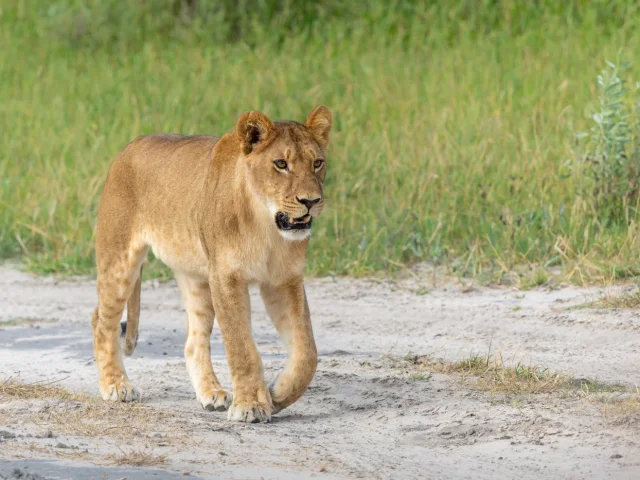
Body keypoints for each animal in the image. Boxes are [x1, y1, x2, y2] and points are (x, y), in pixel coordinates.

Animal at [91, 106, 332, 423]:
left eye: (317, 163)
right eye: (280, 164)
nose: (311, 201)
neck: (266, 226)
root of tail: (130, 146)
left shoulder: (284, 280)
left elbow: (307, 353)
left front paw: (277, 394)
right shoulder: (226, 278)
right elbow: (241, 346)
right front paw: (250, 405)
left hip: (197, 279)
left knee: (193, 342)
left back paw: (211, 393)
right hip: (120, 262)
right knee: (101, 322)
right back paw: (116, 386)